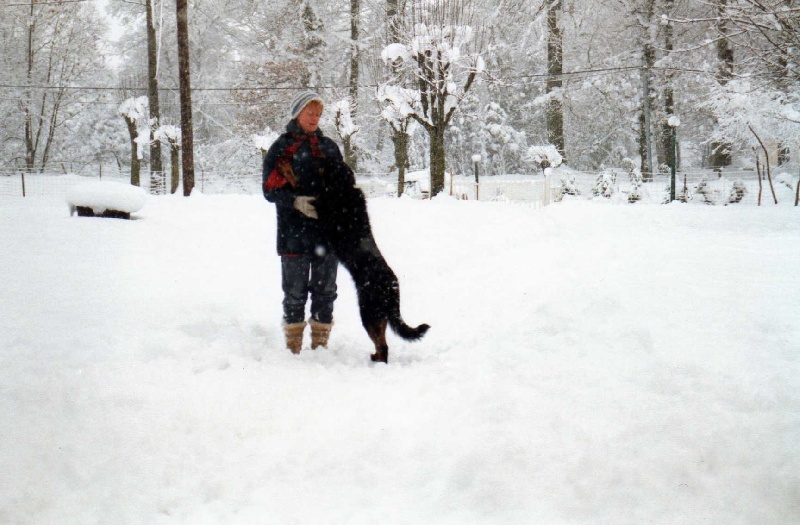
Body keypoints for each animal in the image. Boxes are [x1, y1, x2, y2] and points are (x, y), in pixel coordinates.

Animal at [312, 158, 428, 362]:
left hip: (368, 312)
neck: (343, 188)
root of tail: (393, 287)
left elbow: (317, 200)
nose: (318, 157)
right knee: (382, 343)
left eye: (328, 162)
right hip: (379, 315)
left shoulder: (326, 212)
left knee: (382, 345)